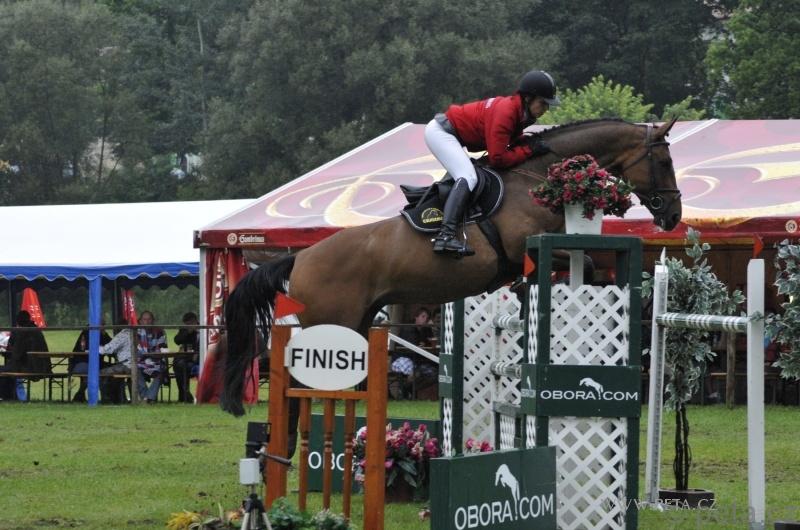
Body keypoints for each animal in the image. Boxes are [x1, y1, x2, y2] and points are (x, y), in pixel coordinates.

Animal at [221, 118, 682, 415]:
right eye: (664, 162)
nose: (673, 216)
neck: (533, 181)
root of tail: (300, 257)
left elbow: (586, 265)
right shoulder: (525, 248)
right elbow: (578, 260)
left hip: (357, 323)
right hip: (330, 323)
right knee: (301, 385)